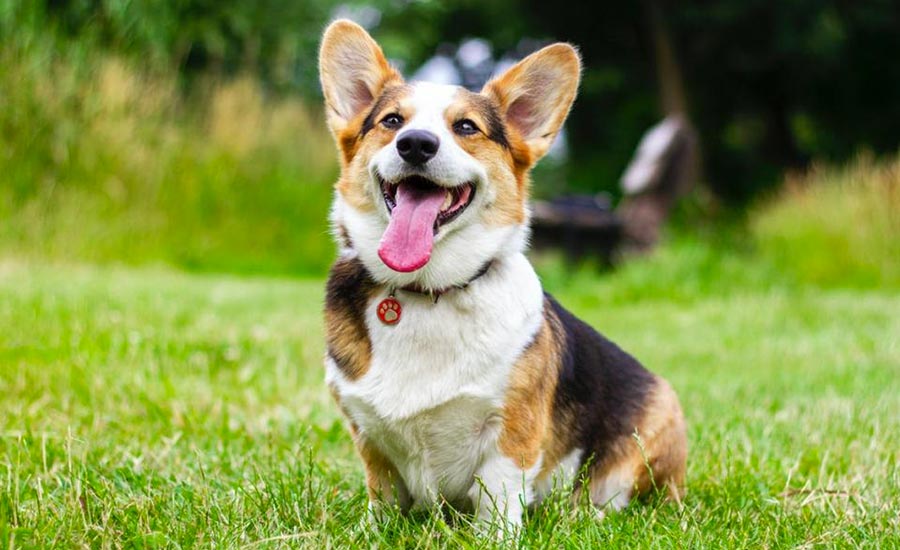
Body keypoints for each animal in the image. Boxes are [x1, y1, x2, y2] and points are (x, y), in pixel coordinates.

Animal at [320, 20, 684, 532]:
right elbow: (383, 494)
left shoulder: (510, 431)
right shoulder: (368, 435)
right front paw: (372, 530)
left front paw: (493, 535)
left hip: (653, 429)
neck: (428, 290)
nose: (416, 143)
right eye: (391, 121)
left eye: (465, 127)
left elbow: (498, 495)